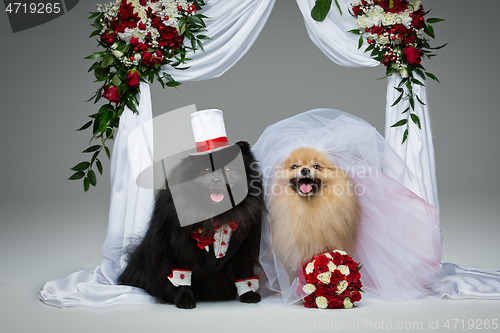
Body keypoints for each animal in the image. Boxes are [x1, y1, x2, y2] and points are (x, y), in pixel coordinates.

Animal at [118, 141, 264, 308]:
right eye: (206, 170)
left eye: (228, 169)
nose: (216, 179)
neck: (218, 213)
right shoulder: (179, 247)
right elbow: (182, 275)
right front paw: (184, 299)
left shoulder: (243, 247)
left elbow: (242, 273)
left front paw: (248, 294)